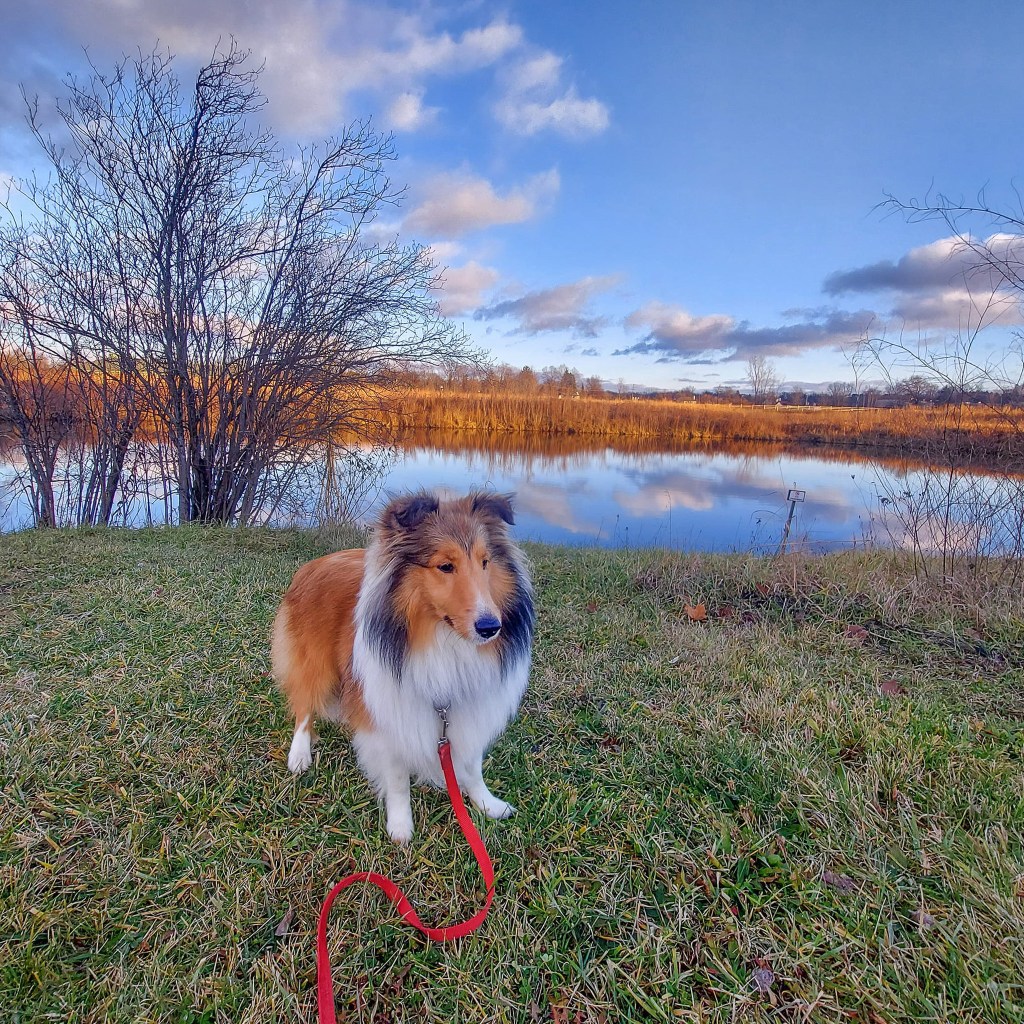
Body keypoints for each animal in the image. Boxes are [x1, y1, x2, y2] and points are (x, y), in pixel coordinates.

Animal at [271, 490, 535, 843]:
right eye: (445, 566)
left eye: (485, 562)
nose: (491, 627)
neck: (443, 642)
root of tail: (316, 562)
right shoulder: (387, 715)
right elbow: (397, 780)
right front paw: (400, 826)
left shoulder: (467, 713)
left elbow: (472, 765)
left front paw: (486, 804)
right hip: (314, 660)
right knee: (304, 704)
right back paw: (299, 754)